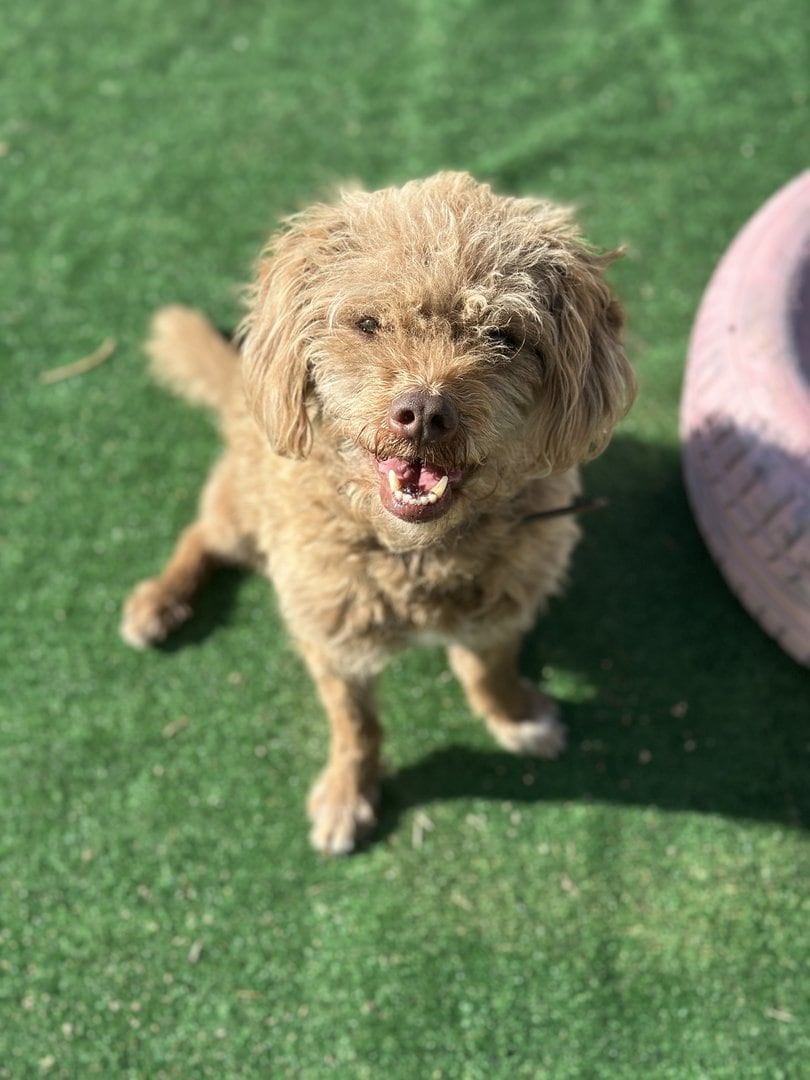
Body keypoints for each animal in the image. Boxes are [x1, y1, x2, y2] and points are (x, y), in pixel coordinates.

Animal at [121, 172, 635, 854]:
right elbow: (355, 725)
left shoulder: (503, 605)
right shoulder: (332, 639)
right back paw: (159, 601)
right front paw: (348, 794)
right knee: (200, 533)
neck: (416, 554)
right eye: (368, 323)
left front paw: (516, 716)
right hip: (238, 514)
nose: (424, 413)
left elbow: (490, 670)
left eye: (504, 337)